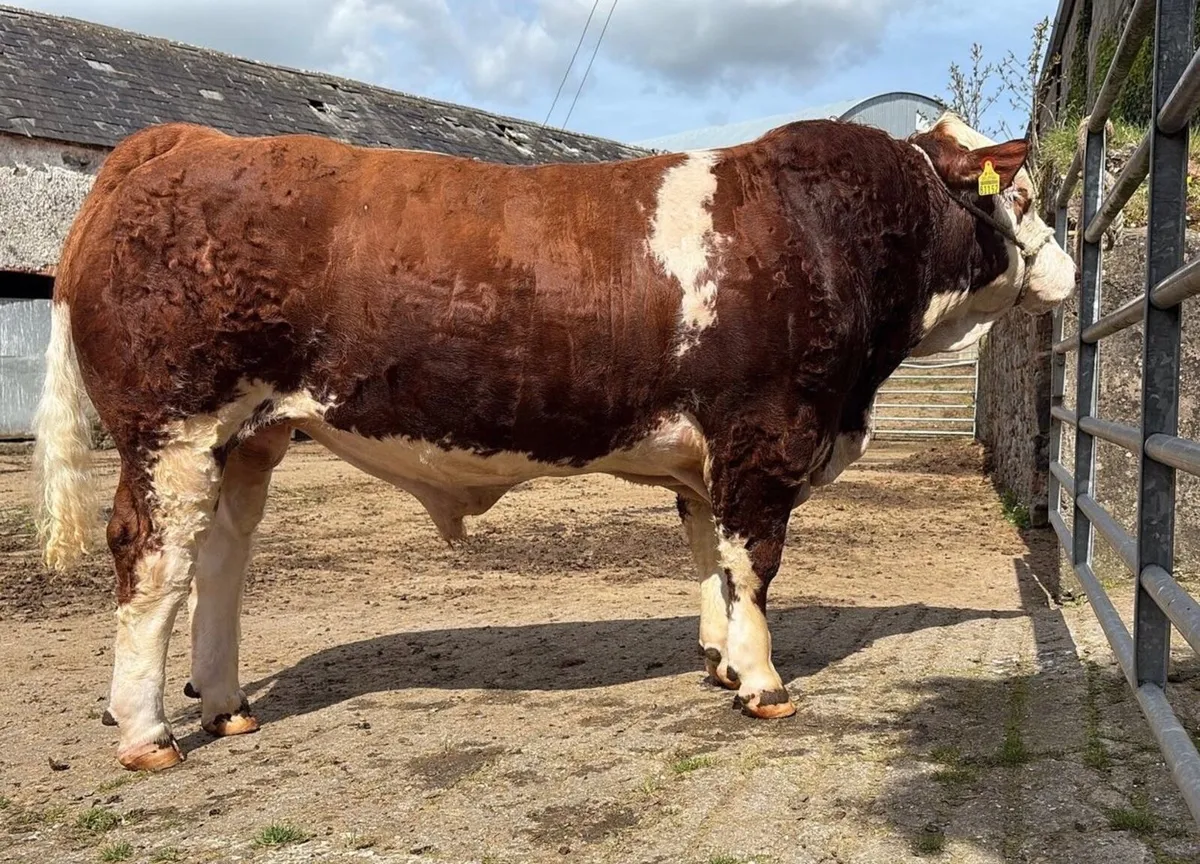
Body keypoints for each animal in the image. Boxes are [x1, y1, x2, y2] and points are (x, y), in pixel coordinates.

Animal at [31, 111, 1076, 772]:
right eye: (1022, 195)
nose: (1066, 268)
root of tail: (186, 142)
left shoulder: (707, 459)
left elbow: (706, 553)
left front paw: (717, 662)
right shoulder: (764, 434)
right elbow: (753, 562)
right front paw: (763, 682)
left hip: (250, 435)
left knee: (220, 559)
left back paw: (229, 706)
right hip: (173, 427)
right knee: (152, 560)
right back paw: (148, 735)